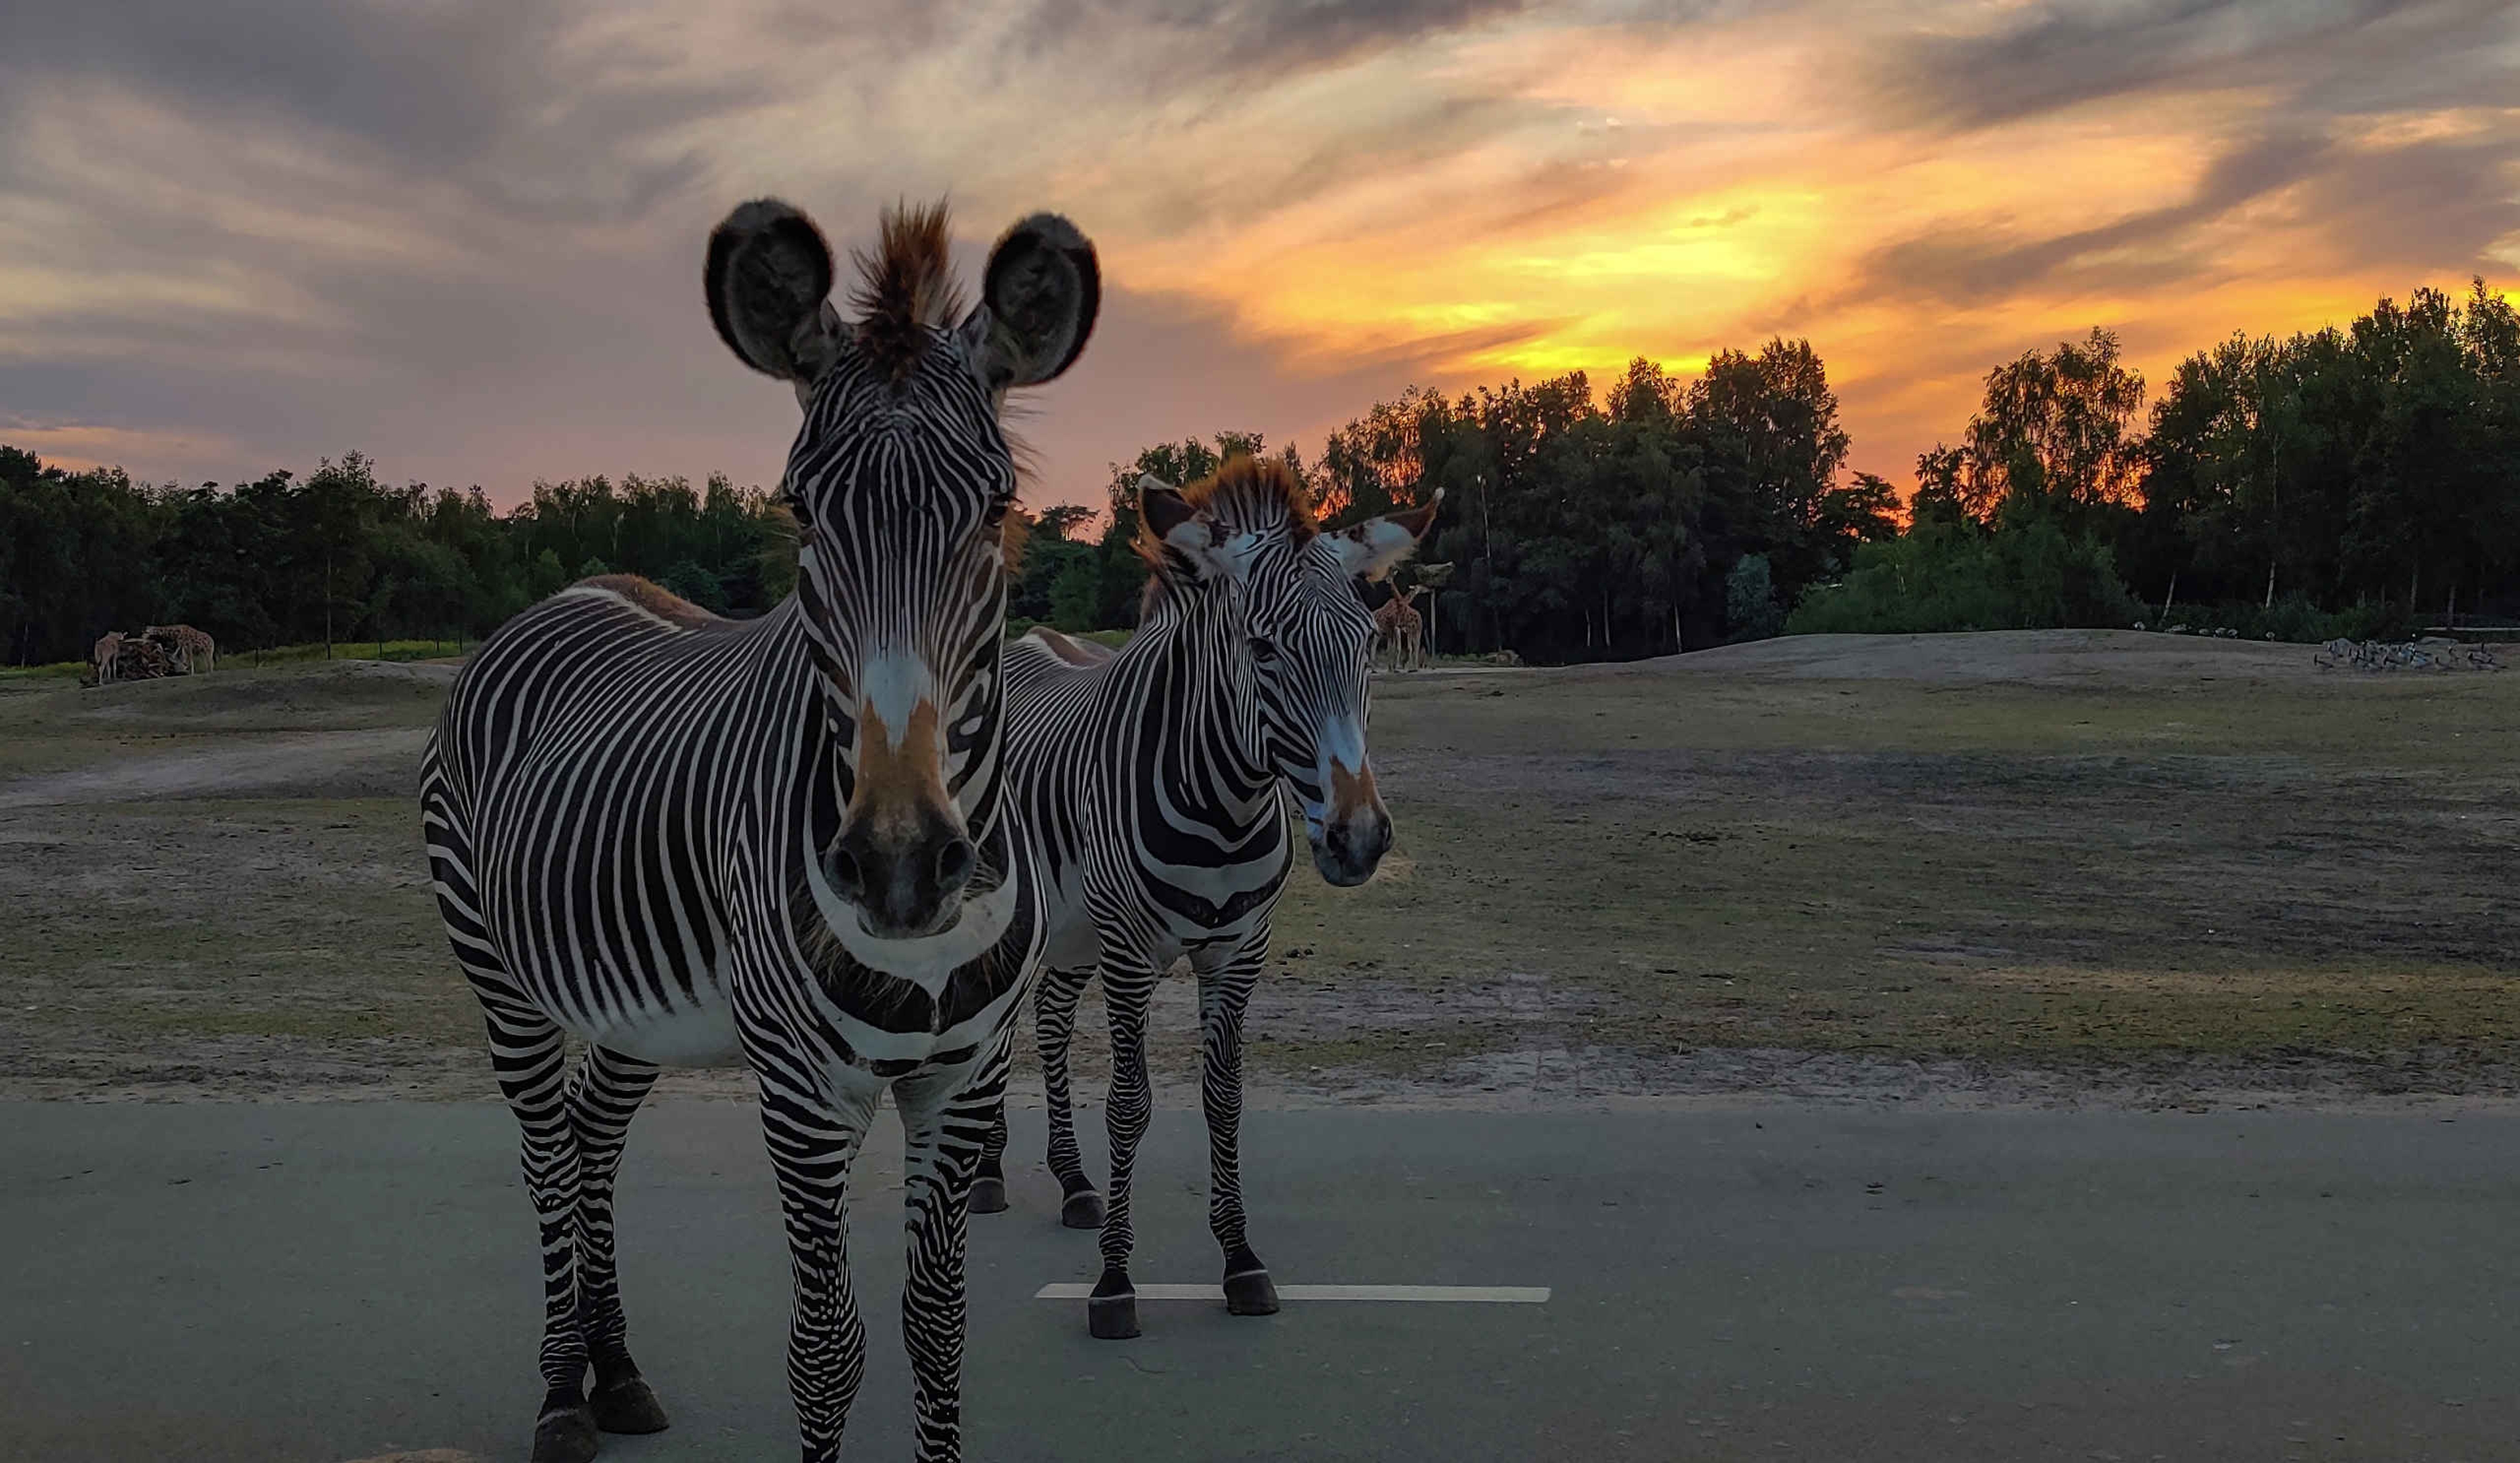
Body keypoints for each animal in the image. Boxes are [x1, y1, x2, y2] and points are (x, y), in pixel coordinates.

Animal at [418, 196, 1098, 1463]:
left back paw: (618, 1373)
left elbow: (938, 1329)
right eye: (800, 508)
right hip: (504, 977)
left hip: (631, 1001)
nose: (898, 865)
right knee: (545, 1155)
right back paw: (560, 1393)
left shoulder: (963, 1078)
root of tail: (565, 592)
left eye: (997, 509)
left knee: (591, 1135)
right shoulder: (799, 1089)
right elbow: (826, 1351)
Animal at [972, 457, 1440, 1340]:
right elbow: (1130, 1104)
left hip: (1072, 929)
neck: (1224, 804)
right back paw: (983, 1175)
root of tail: (1025, 643)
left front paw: (1241, 1262)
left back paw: (1072, 1182)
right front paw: (1114, 1283)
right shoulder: (1131, 951)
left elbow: (1225, 1101)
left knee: (1048, 1017)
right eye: (1262, 648)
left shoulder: (1238, 950)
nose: (1359, 839)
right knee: (994, 1025)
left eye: (1368, 645)